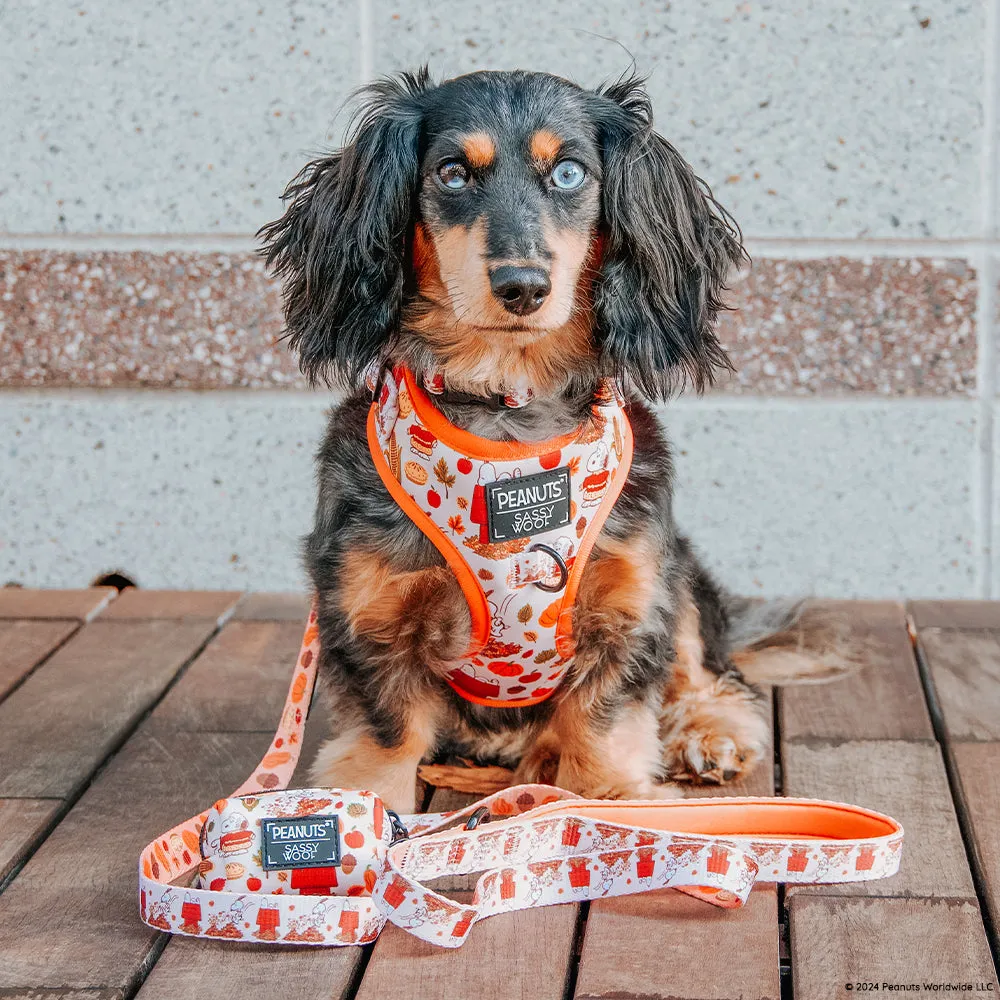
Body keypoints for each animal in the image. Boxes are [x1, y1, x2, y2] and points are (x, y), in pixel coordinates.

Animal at [260, 68, 860, 812]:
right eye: (452, 172)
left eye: (570, 171)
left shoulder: (632, 600)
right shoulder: (364, 603)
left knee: (698, 672)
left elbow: (599, 718)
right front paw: (362, 814)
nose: (522, 285)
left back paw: (708, 735)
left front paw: (609, 801)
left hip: (679, 572)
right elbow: (390, 728)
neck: (510, 413)